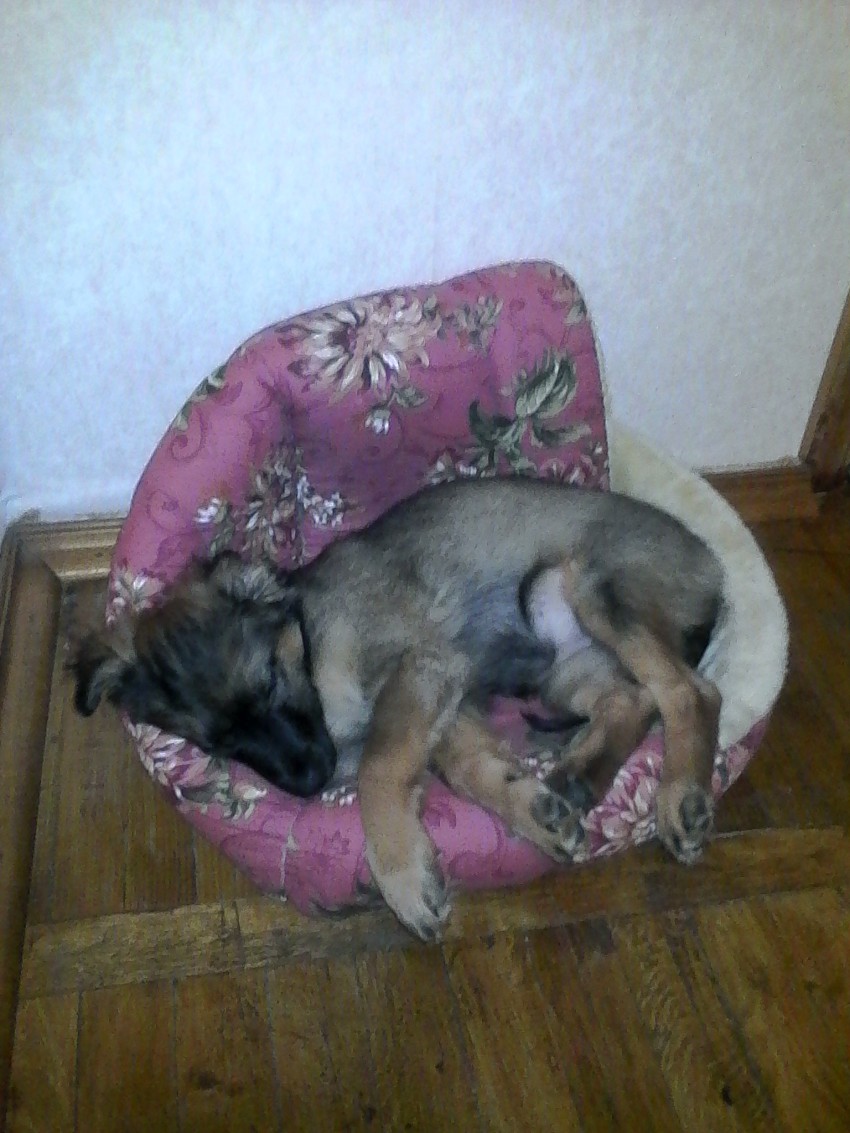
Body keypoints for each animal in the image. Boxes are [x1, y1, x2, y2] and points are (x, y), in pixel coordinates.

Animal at [71, 477, 724, 939]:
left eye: (271, 682)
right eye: (218, 744)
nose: (310, 781)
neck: (312, 638)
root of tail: (712, 564)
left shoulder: (421, 670)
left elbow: (378, 768)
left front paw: (403, 878)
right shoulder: (446, 700)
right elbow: (468, 769)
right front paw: (532, 809)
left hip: (593, 588)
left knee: (691, 692)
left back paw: (681, 800)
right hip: (557, 662)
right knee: (635, 697)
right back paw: (580, 774)